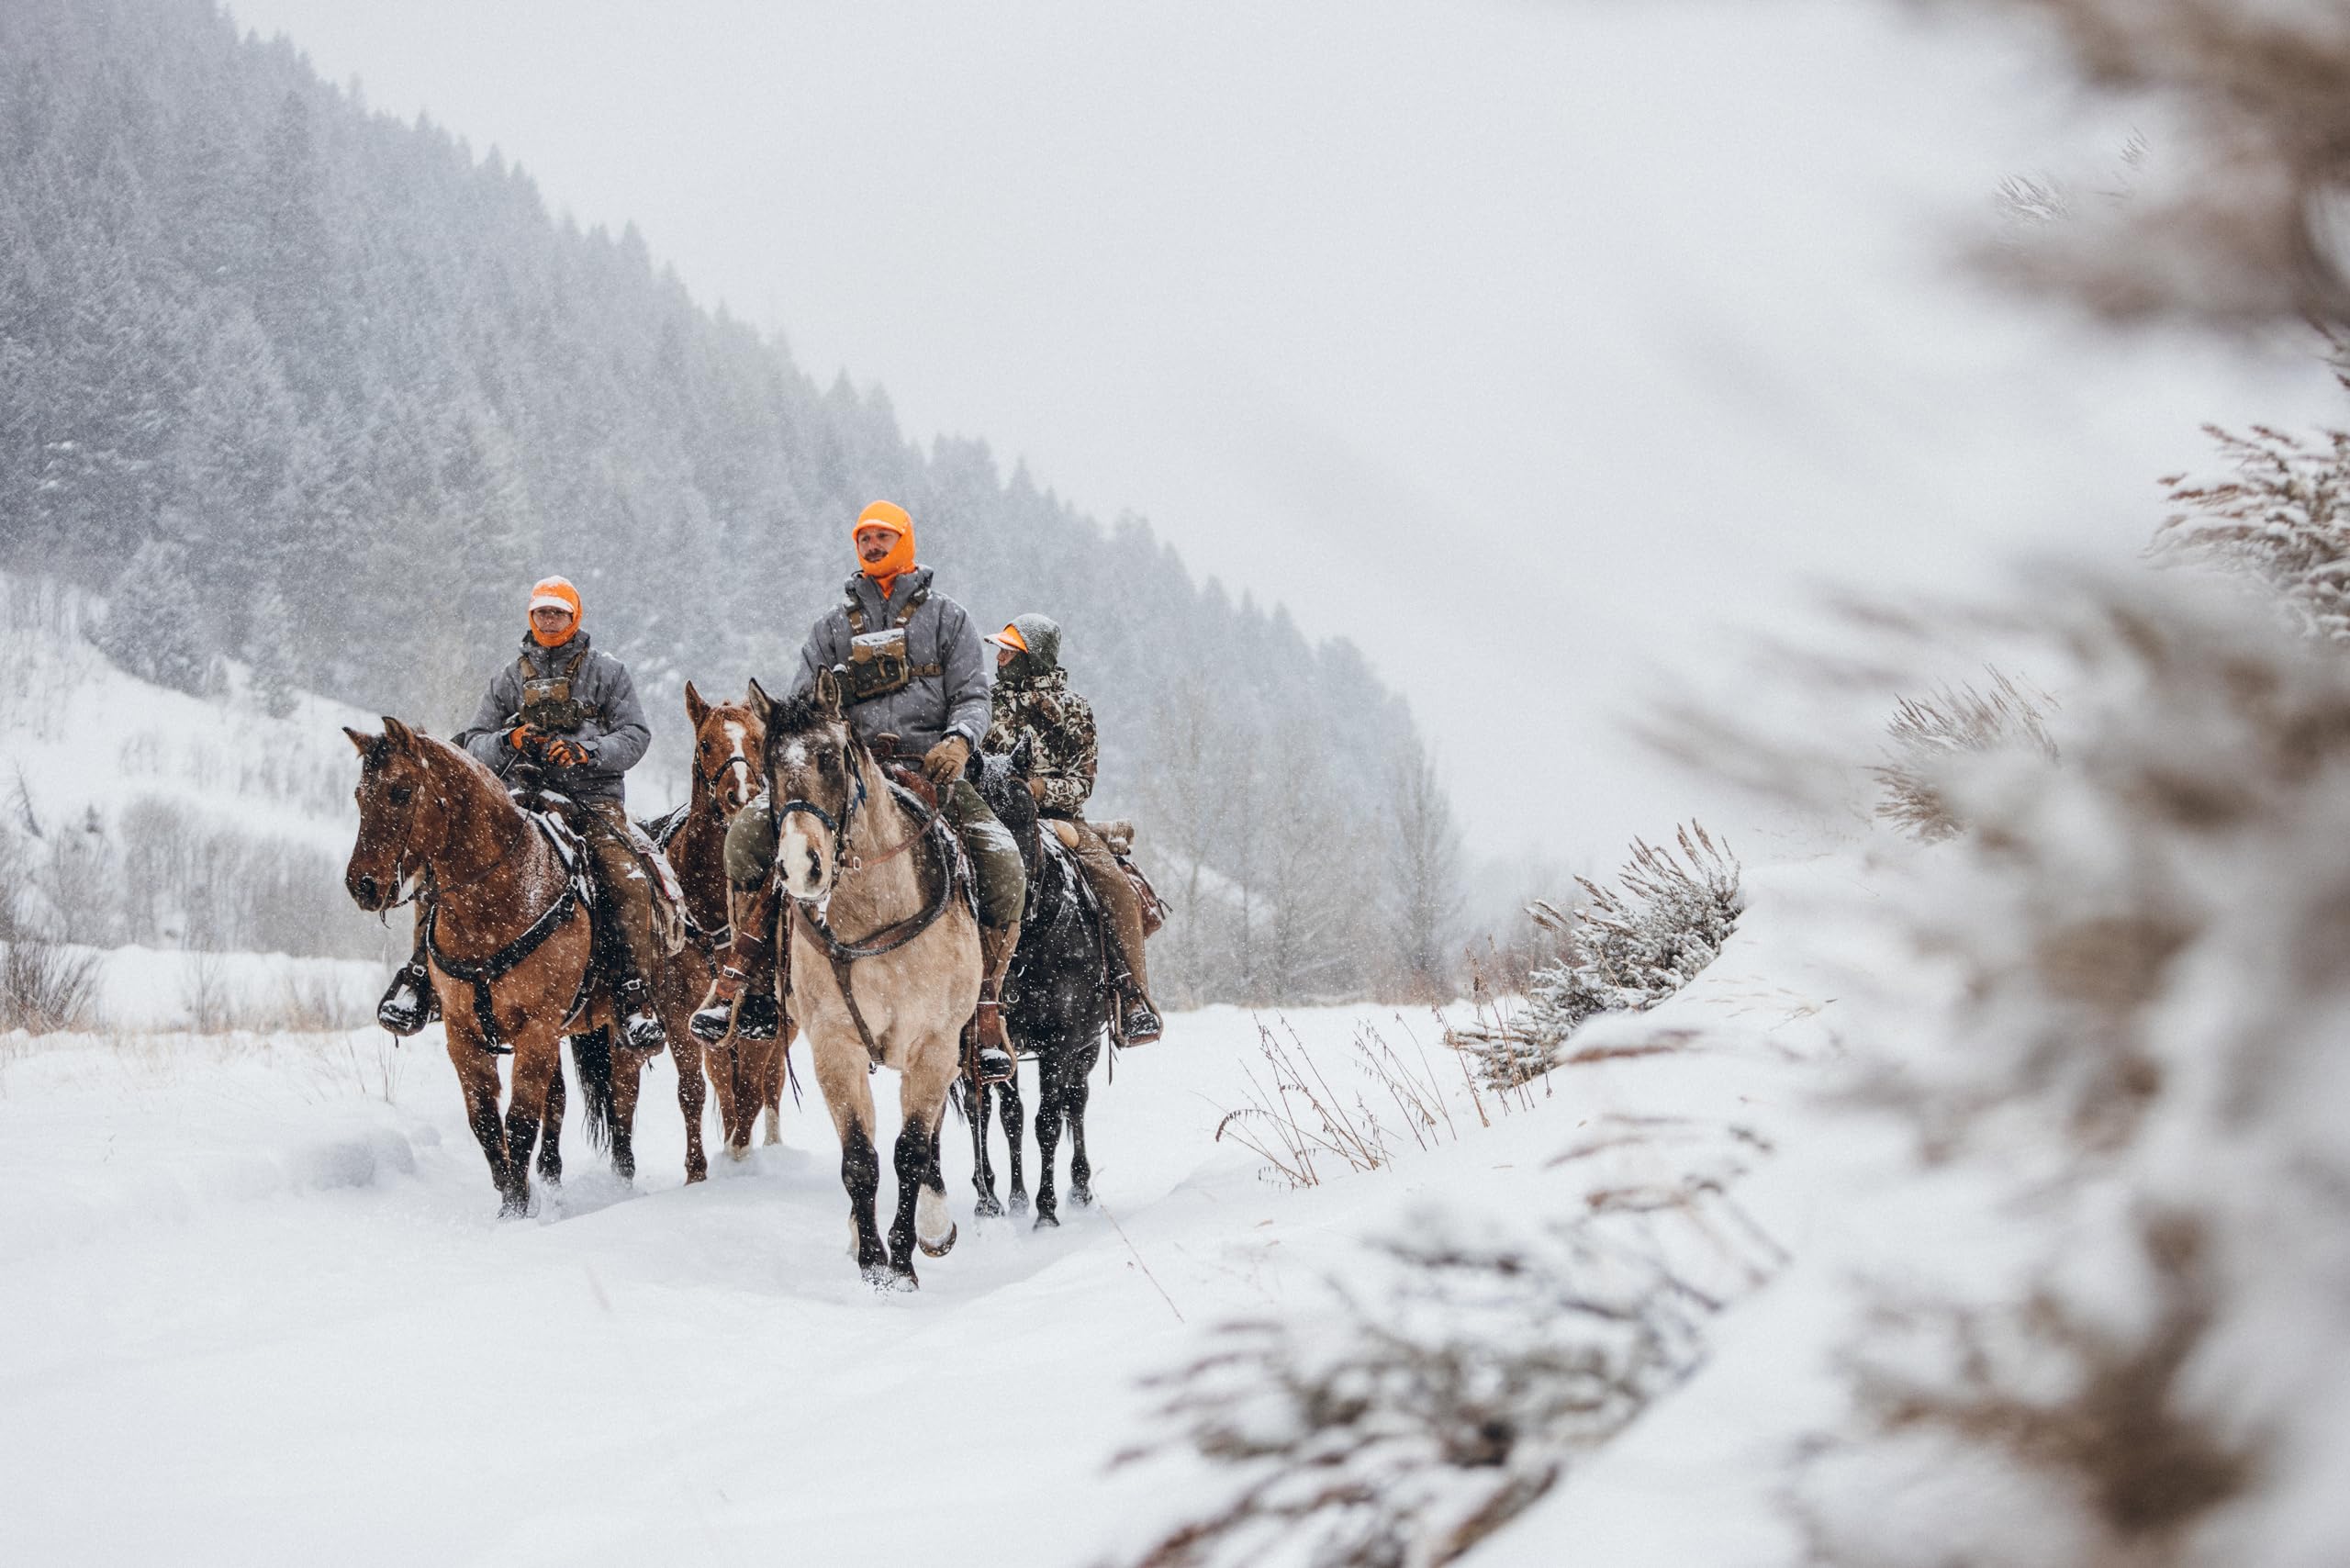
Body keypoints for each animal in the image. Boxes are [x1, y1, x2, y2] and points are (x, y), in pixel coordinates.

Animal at [342, 719, 705, 1222]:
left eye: (400, 791)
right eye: (360, 795)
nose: (361, 885)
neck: (495, 905)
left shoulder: (537, 1028)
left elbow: (518, 1121)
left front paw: (515, 1209)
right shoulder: (464, 1033)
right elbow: (485, 1121)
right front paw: (511, 1197)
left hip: (632, 1023)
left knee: (623, 1096)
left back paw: (622, 1179)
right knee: (561, 1102)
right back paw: (552, 1184)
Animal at [747, 677, 977, 1288]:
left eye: (830, 758)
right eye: (768, 765)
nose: (800, 866)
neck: (873, 921)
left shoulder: (934, 1045)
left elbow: (911, 1152)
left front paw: (904, 1261)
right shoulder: (835, 1048)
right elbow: (860, 1160)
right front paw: (873, 1264)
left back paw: (933, 1223)